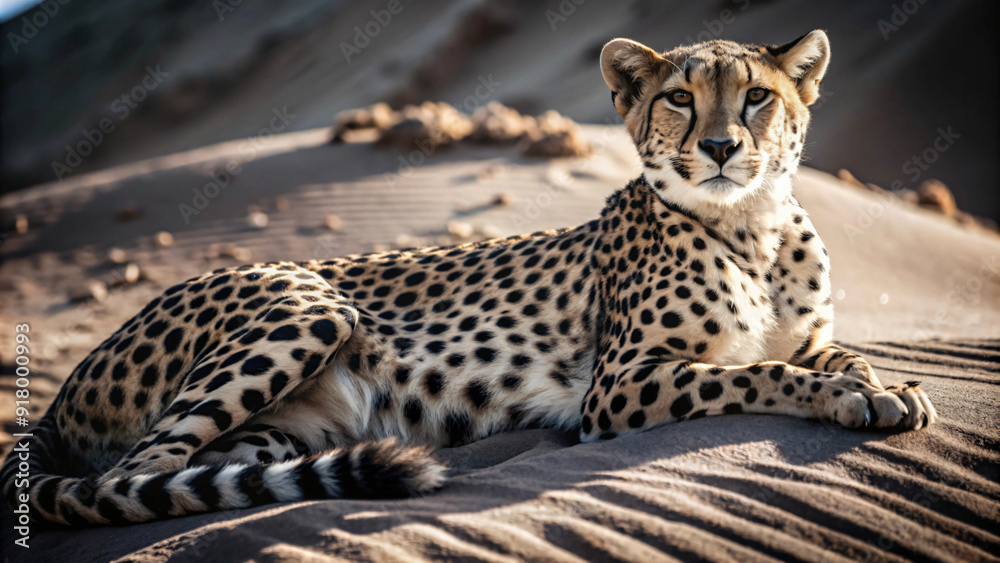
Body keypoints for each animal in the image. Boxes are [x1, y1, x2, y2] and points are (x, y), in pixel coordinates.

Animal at [2, 30, 937, 526]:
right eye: (679, 96)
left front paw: (889, 387)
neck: (755, 230)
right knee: (127, 479)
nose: (717, 146)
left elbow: (838, 353)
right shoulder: (619, 386)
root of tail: (57, 398)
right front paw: (842, 399)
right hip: (308, 305)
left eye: (756, 97)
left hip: (281, 427)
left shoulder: (807, 334)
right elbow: (759, 372)